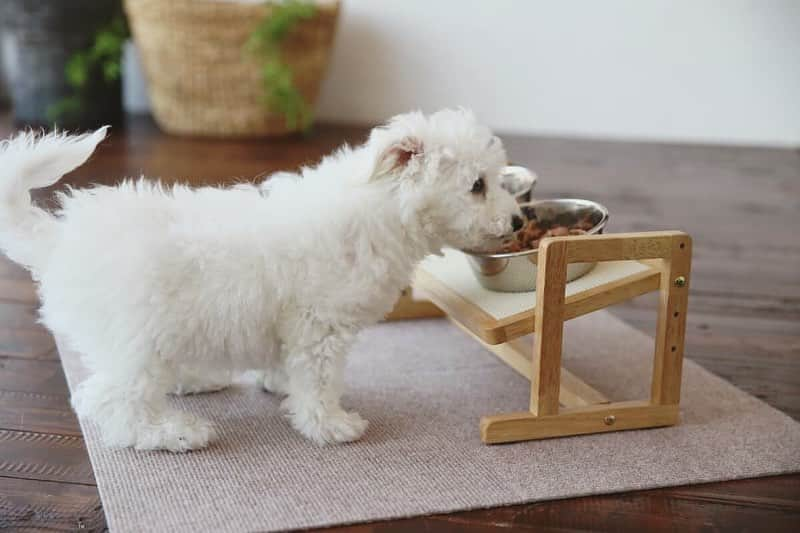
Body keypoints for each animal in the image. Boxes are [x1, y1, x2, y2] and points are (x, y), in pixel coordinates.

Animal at [0, 110, 520, 450]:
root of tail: (57, 239)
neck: (377, 209)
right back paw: (174, 433)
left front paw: (280, 387)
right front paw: (331, 425)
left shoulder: (294, 328)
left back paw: (195, 382)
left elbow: (289, 369)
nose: (516, 222)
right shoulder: (319, 328)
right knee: (110, 401)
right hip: (136, 340)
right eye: (477, 186)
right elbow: (318, 382)